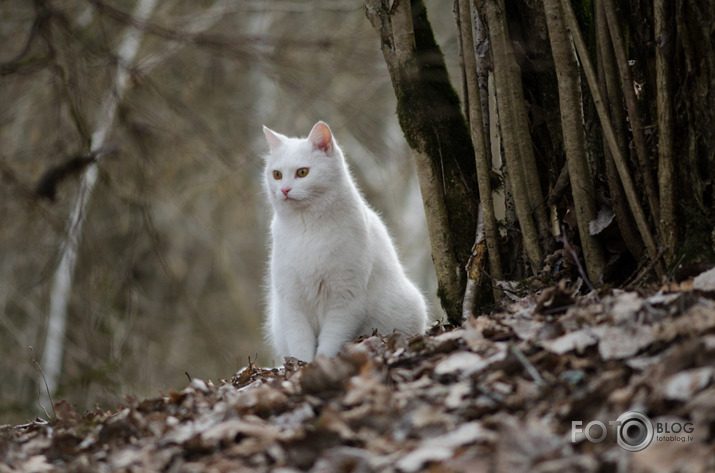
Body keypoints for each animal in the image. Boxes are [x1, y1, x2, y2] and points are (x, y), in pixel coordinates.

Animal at [264, 120, 428, 360]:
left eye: (302, 172)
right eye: (276, 174)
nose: (284, 189)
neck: (307, 228)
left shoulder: (345, 301)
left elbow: (329, 344)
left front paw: (320, 364)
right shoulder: (292, 303)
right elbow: (300, 346)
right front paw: (303, 365)